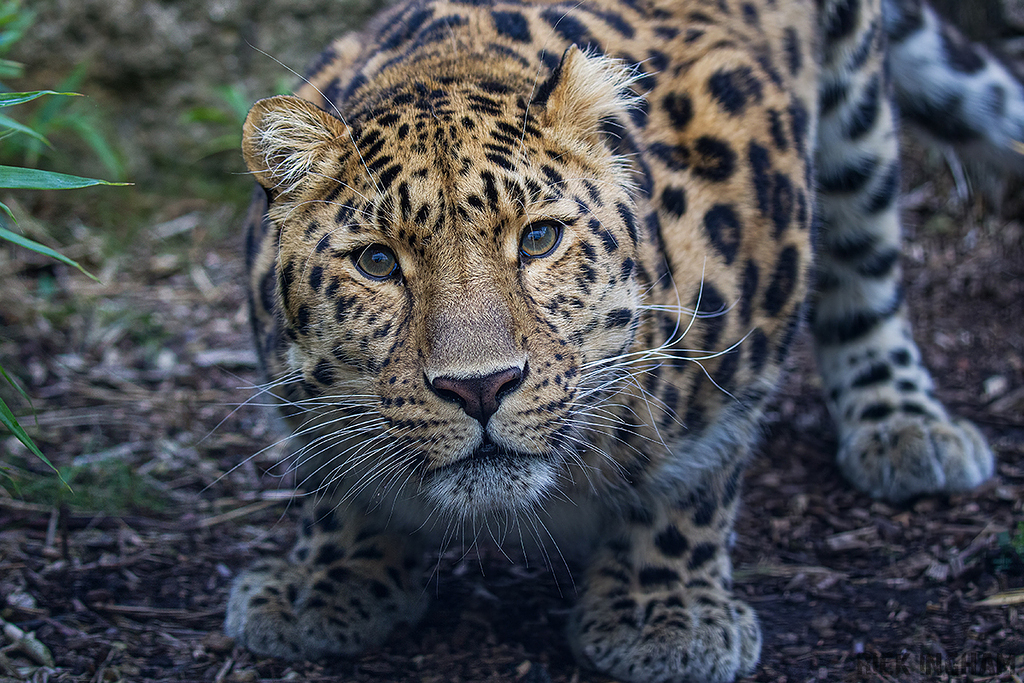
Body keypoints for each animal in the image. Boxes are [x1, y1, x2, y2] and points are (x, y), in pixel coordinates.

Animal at [225, 0, 1016, 680]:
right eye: (377, 262)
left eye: (538, 239)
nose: (480, 387)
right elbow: (335, 479)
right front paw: (328, 579)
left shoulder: (752, 315)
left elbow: (697, 478)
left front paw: (662, 613)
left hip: (858, 114)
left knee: (867, 261)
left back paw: (906, 426)